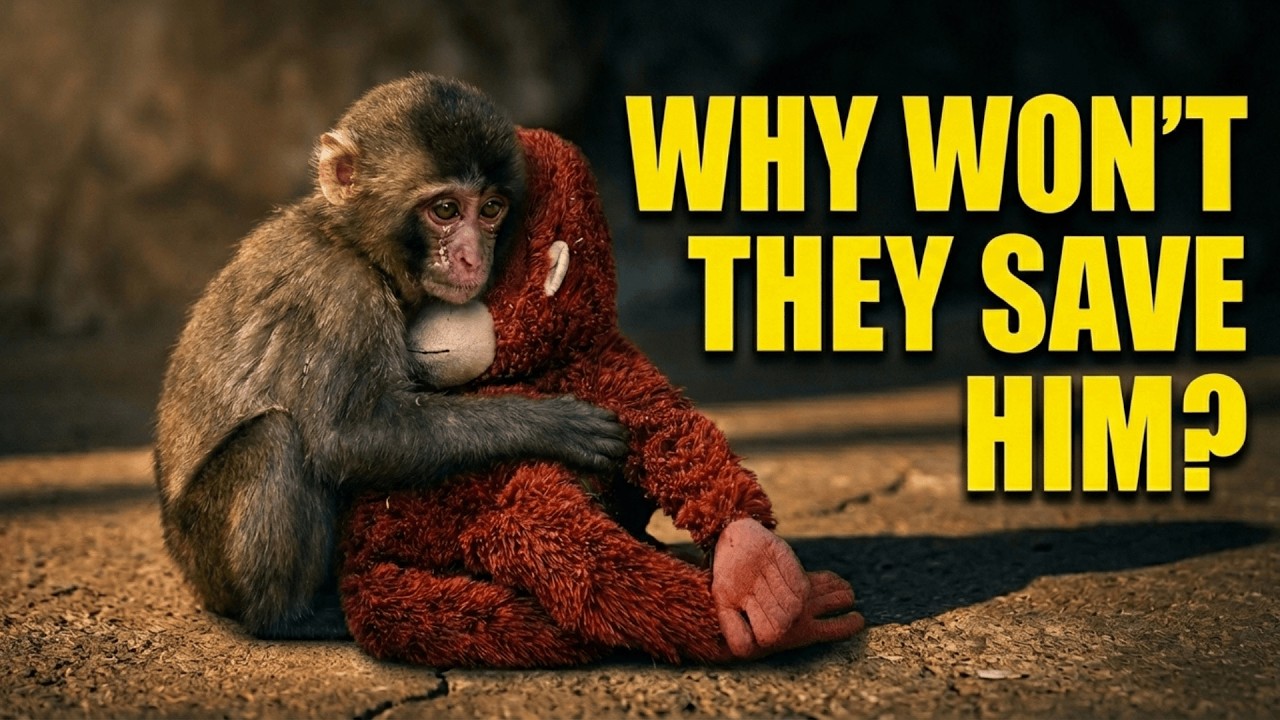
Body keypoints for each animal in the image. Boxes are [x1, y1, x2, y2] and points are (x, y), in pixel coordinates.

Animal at [153, 74, 629, 640]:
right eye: (445, 210)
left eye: (491, 208)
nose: (473, 256)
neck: (353, 242)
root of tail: (184, 566)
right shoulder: (342, 295)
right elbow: (349, 439)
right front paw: (551, 423)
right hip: (206, 553)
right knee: (275, 438)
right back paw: (289, 617)